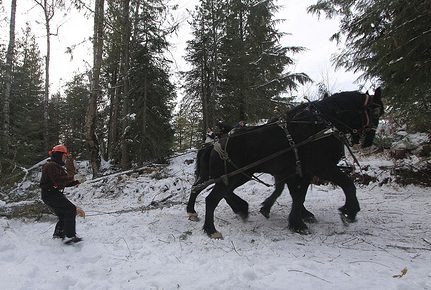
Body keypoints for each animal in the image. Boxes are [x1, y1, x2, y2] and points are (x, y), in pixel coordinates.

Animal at [189, 88, 384, 238]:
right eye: (376, 112)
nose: (368, 141)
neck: (321, 126)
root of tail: (215, 143)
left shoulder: (300, 171)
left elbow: (297, 195)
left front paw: (297, 221)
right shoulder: (322, 167)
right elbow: (348, 184)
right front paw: (349, 212)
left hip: (238, 175)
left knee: (205, 190)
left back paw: (232, 210)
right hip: (232, 176)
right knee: (211, 198)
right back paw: (211, 229)